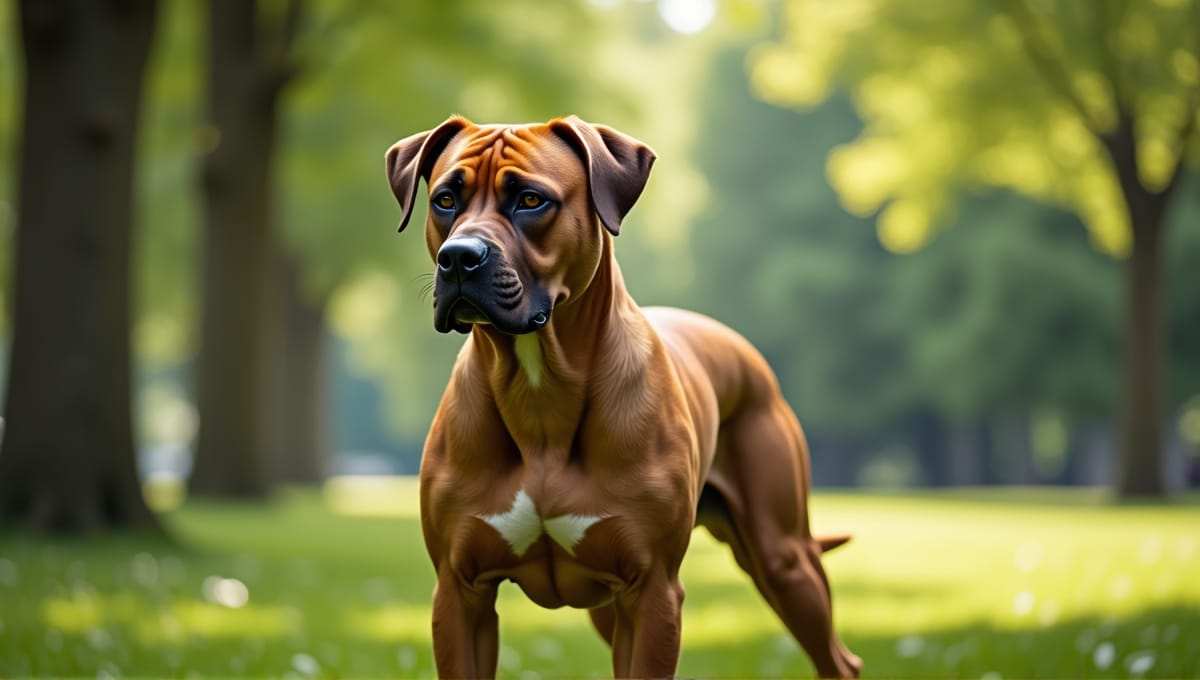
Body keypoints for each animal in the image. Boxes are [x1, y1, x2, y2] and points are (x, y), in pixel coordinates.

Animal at [384, 114, 864, 676]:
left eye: (530, 200)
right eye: (444, 199)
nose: (459, 258)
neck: (538, 386)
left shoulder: (653, 589)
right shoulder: (461, 592)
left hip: (784, 558)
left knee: (837, 656)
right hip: (607, 607)